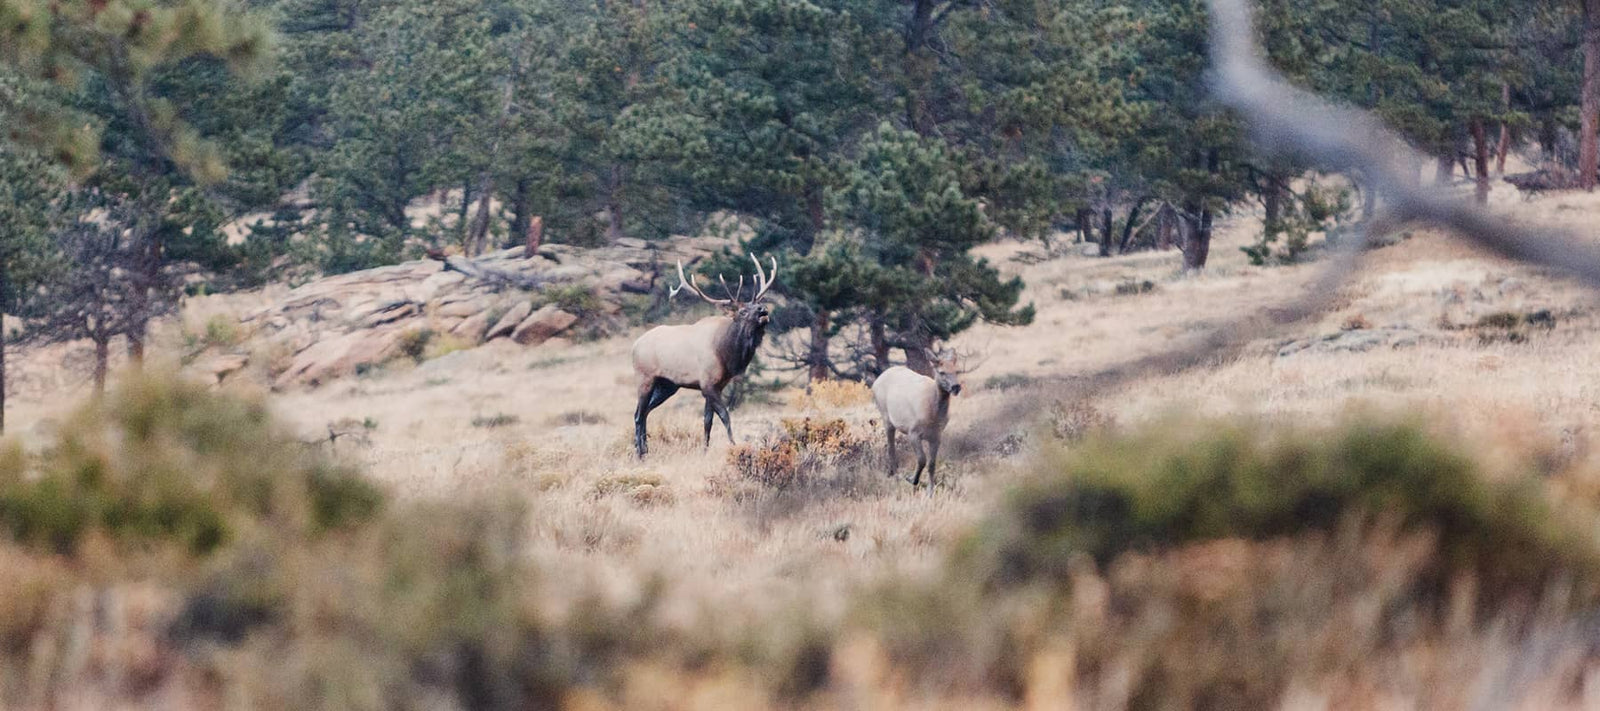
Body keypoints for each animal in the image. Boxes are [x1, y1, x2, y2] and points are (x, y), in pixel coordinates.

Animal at [631, 254, 778, 458]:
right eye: (742, 311)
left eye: (757, 304)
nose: (763, 310)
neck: (726, 354)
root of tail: (634, 346)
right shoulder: (707, 384)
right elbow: (725, 416)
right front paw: (734, 446)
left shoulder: (716, 385)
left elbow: (708, 420)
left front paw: (705, 450)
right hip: (645, 378)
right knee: (638, 414)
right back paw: (640, 454)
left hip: (667, 385)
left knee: (645, 412)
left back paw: (644, 449)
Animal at [872, 352, 962, 488]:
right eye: (941, 372)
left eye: (956, 370)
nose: (956, 387)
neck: (933, 416)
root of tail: (876, 381)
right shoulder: (913, 432)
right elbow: (922, 459)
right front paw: (912, 480)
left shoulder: (937, 436)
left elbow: (932, 463)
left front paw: (931, 489)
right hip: (885, 416)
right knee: (890, 447)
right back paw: (895, 476)